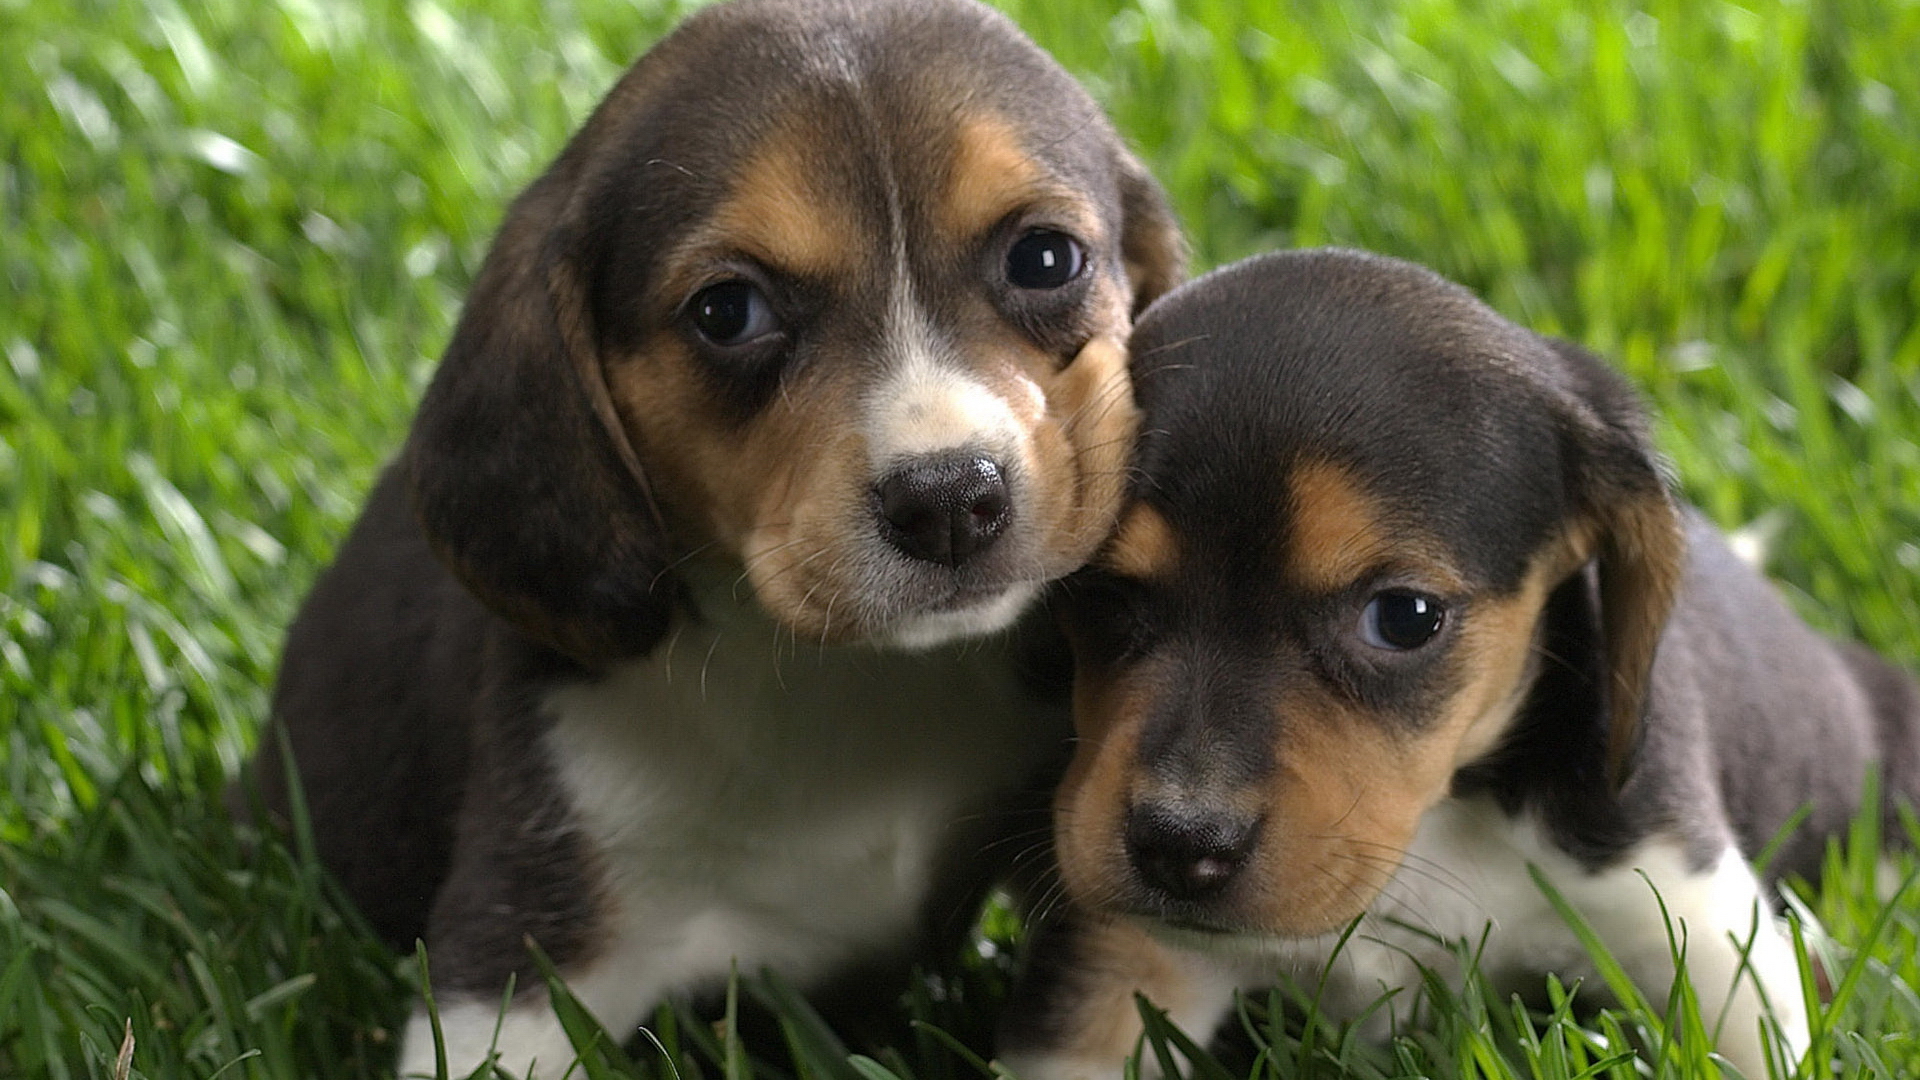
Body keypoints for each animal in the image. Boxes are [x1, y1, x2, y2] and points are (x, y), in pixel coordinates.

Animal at [1006, 247, 1920, 1068]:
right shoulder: (1125, 961)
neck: (1439, 818)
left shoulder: (1705, 927)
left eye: (1405, 618)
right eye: (1103, 593)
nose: (1177, 845)